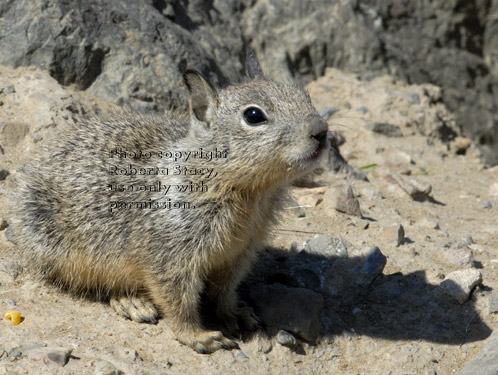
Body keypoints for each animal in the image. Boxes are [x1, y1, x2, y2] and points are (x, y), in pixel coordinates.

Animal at [10, 51, 326, 354]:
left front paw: (234, 314)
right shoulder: (171, 257)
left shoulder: (239, 254)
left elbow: (224, 292)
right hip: (68, 253)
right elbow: (178, 301)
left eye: (303, 95)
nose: (321, 131)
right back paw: (131, 302)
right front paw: (199, 336)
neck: (250, 194)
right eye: (253, 115)